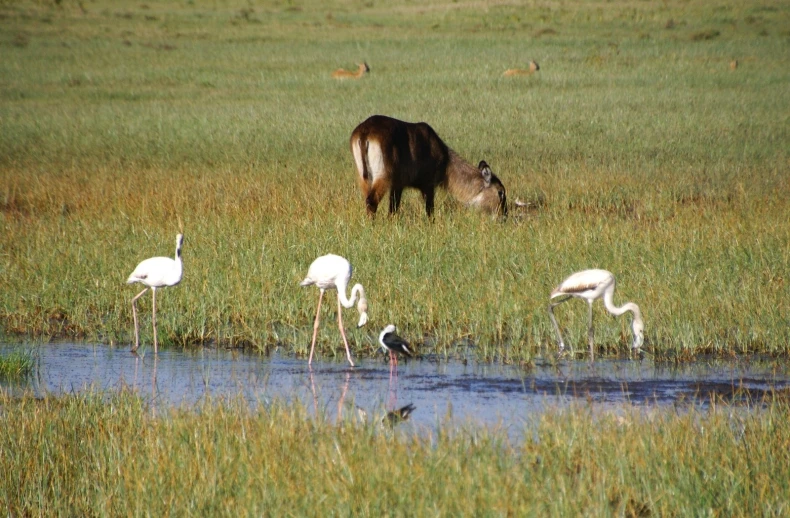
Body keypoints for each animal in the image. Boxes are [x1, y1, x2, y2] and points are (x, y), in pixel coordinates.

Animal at [352, 115, 508, 218]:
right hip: (382, 175)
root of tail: (365, 131)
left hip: (363, 177)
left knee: (367, 199)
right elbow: (429, 211)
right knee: (371, 201)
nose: (504, 216)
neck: (445, 160)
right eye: (501, 192)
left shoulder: (398, 185)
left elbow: (393, 210)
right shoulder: (428, 185)